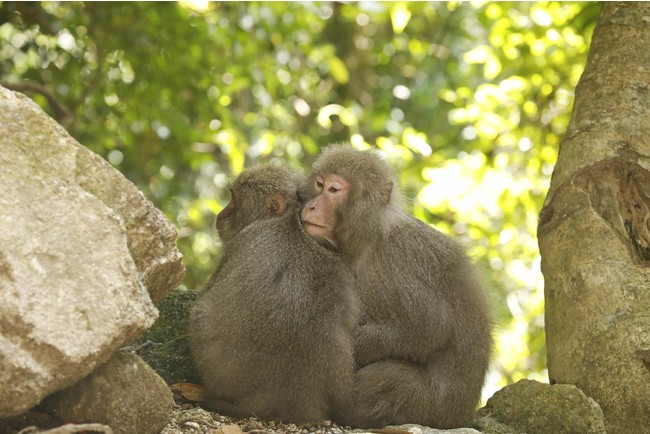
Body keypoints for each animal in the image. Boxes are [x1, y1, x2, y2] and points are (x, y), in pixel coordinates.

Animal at [298, 145, 492, 428]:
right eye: (319, 184)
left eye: (334, 190)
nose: (311, 206)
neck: (369, 237)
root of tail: (462, 415)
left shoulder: (398, 261)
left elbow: (431, 325)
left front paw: (356, 347)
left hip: (431, 409)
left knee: (394, 379)